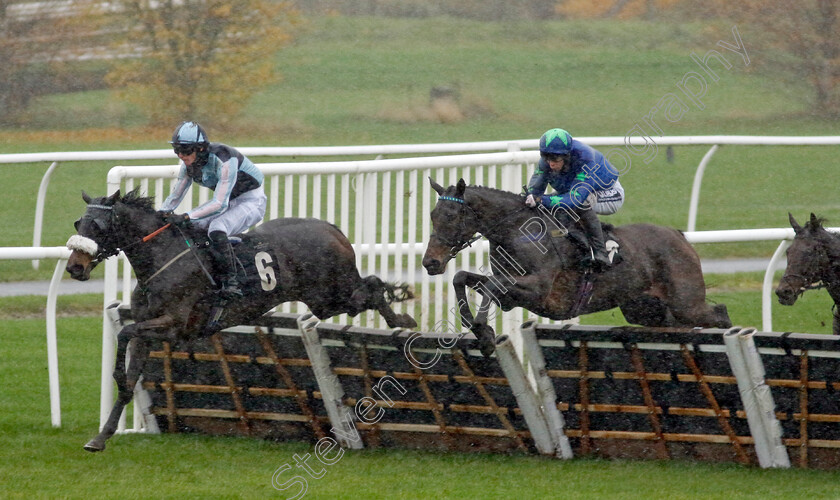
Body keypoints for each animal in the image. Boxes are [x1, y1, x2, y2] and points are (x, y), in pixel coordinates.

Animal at [65, 188, 416, 454]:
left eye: (98, 226)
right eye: (79, 222)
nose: (74, 268)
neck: (162, 258)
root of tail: (331, 228)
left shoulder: (175, 326)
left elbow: (124, 331)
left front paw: (117, 378)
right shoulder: (149, 330)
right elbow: (128, 367)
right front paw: (101, 436)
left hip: (333, 295)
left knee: (372, 286)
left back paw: (403, 317)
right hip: (325, 301)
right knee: (370, 286)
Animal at [420, 178, 728, 354]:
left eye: (451, 216)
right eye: (433, 215)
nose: (430, 262)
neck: (517, 230)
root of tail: (679, 236)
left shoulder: (539, 291)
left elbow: (491, 286)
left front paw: (483, 333)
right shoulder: (514, 295)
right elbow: (462, 278)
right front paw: (475, 327)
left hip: (685, 302)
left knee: (720, 313)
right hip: (645, 309)